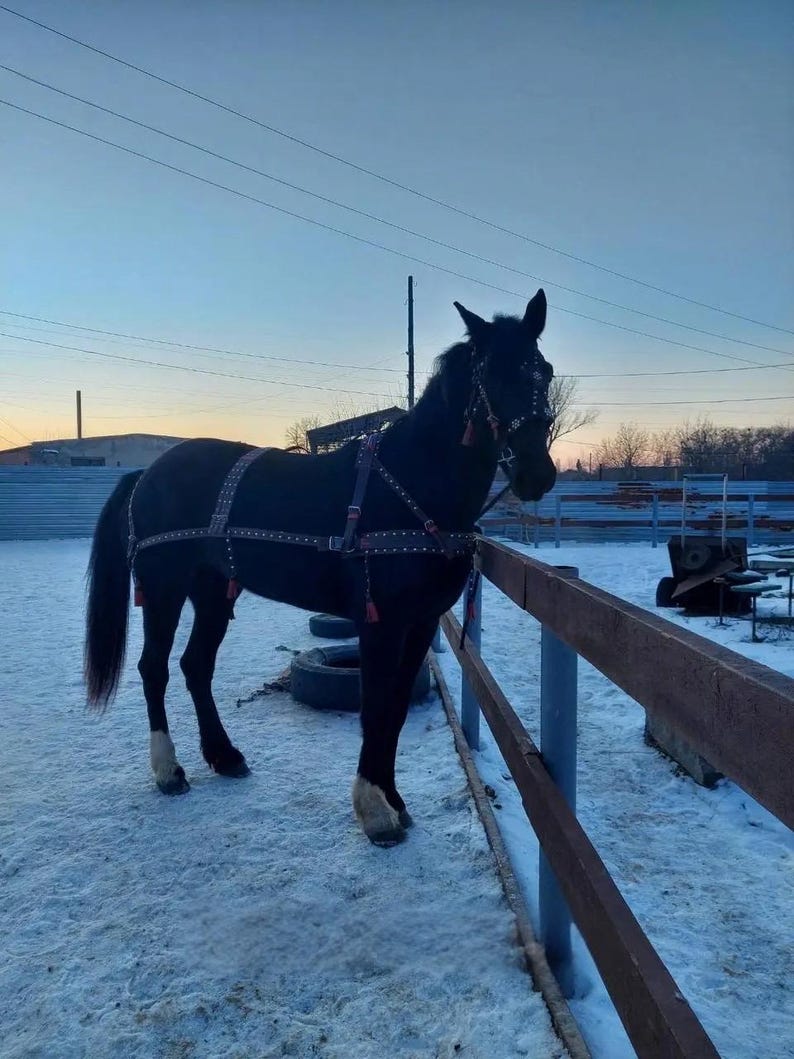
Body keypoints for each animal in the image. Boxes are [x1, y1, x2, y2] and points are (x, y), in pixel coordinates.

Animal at [84, 289, 557, 846]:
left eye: (544, 371)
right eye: (492, 375)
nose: (536, 473)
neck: (409, 484)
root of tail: (148, 472)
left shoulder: (420, 623)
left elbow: (397, 707)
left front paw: (394, 800)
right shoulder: (380, 623)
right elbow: (375, 707)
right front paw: (375, 811)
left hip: (214, 590)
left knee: (195, 666)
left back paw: (225, 756)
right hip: (163, 588)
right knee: (153, 668)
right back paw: (168, 771)